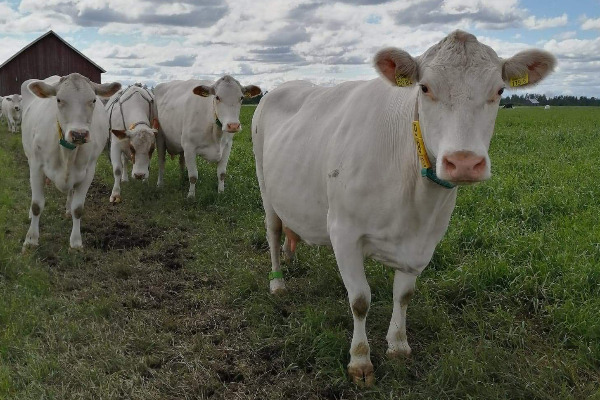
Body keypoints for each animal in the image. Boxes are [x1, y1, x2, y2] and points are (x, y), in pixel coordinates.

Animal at [21, 74, 122, 250]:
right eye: (59, 99)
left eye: (93, 100)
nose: (79, 134)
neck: (67, 152)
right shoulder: (36, 167)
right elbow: (36, 205)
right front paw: (31, 239)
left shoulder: (88, 171)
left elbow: (78, 209)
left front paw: (75, 242)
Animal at [251, 29, 556, 386]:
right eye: (424, 88)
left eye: (499, 90)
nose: (464, 162)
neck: (413, 198)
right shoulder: (343, 230)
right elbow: (360, 300)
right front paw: (360, 360)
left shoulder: (424, 241)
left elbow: (404, 295)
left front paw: (398, 345)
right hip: (264, 184)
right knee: (272, 230)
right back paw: (278, 282)